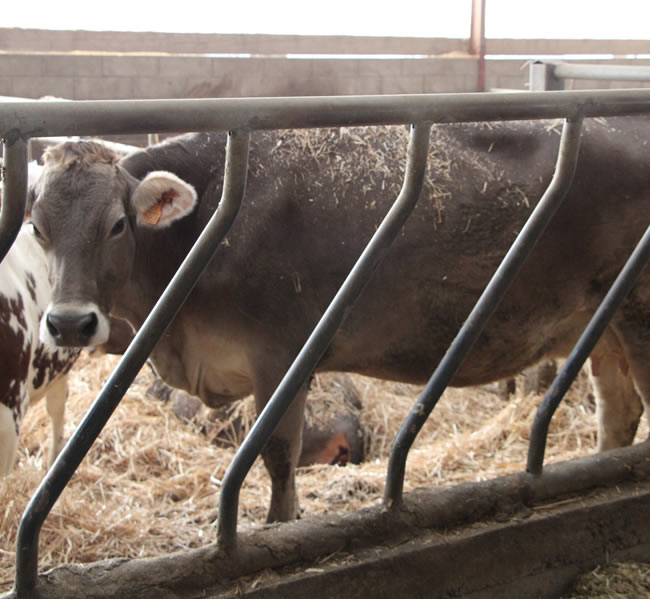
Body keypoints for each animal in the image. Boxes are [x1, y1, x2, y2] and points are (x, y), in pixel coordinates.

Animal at [26, 119, 648, 524]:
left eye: (116, 224)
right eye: (36, 226)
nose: (70, 324)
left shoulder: (280, 354)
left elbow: (277, 456)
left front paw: (278, 529)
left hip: (638, 312)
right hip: (604, 327)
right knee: (618, 414)